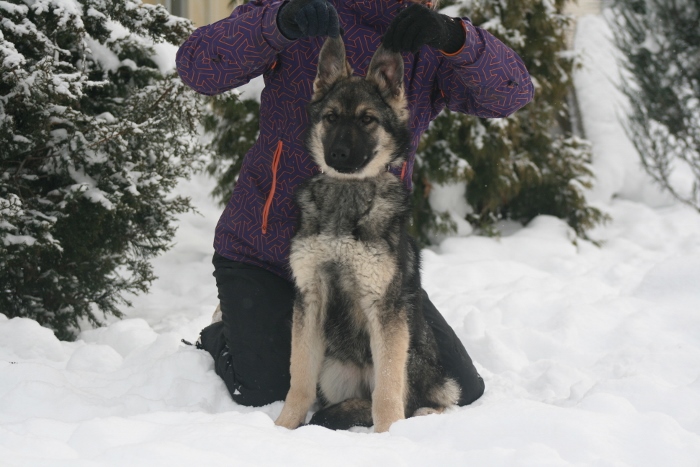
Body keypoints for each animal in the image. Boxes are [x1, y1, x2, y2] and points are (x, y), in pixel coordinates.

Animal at [276, 36, 462, 436]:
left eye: (367, 120)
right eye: (331, 118)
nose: (339, 153)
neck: (347, 196)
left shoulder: (386, 309)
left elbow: (388, 392)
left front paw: (388, 435)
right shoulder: (309, 299)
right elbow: (298, 379)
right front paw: (283, 427)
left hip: (415, 358)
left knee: (423, 399)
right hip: (335, 371)